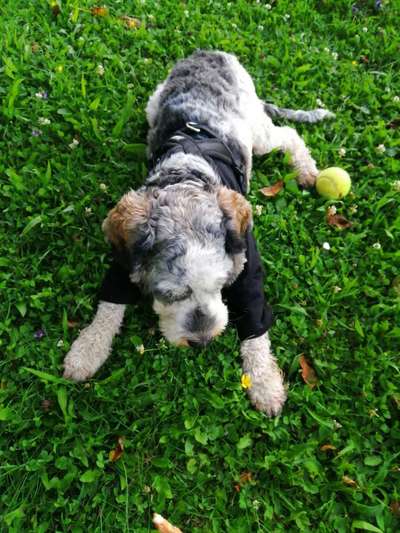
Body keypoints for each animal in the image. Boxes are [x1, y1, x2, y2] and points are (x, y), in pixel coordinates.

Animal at [61, 51, 332, 416]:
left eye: (221, 286)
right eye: (170, 294)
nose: (202, 342)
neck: (186, 178)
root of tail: (211, 52)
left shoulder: (246, 267)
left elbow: (255, 327)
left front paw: (264, 384)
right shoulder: (124, 260)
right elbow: (108, 308)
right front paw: (86, 352)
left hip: (258, 134)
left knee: (289, 133)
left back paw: (306, 170)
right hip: (153, 103)